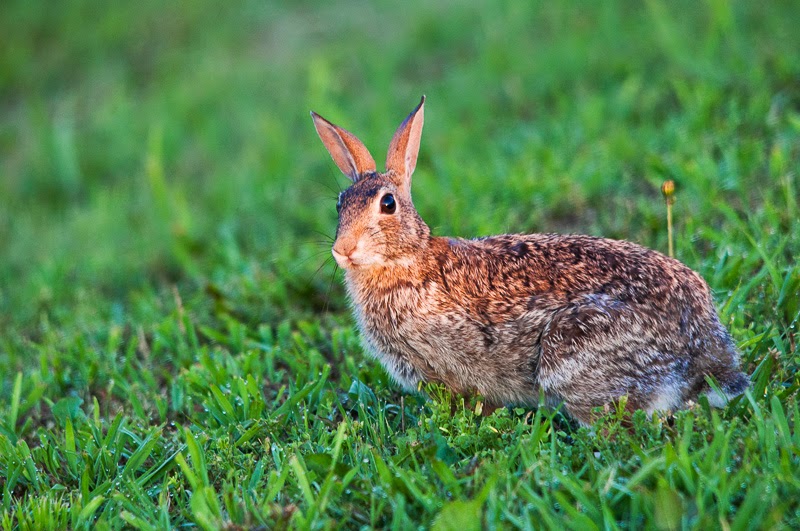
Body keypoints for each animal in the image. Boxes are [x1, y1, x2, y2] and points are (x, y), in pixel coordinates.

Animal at [310, 96, 749, 425]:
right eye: (339, 204)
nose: (343, 249)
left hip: (569, 354)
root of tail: (704, 347)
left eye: (388, 204)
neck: (408, 260)